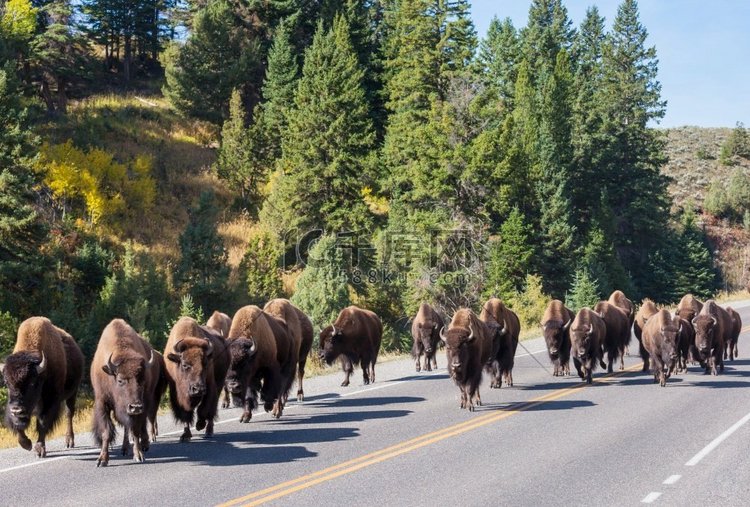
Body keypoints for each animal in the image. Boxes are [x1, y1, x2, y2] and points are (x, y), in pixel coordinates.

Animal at [0, 320, 83, 458]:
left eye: (32, 383)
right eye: (7, 383)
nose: (17, 409)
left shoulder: (50, 402)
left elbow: (43, 423)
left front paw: (39, 449)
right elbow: (18, 426)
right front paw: (27, 444)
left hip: (72, 393)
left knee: (69, 414)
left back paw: (69, 441)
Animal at [91, 320, 164, 466]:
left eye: (142, 380)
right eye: (120, 380)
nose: (135, 407)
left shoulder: (140, 405)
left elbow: (135, 430)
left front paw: (139, 455)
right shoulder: (102, 402)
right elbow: (106, 432)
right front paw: (102, 460)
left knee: (141, 424)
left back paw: (144, 445)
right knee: (127, 427)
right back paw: (125, 449)